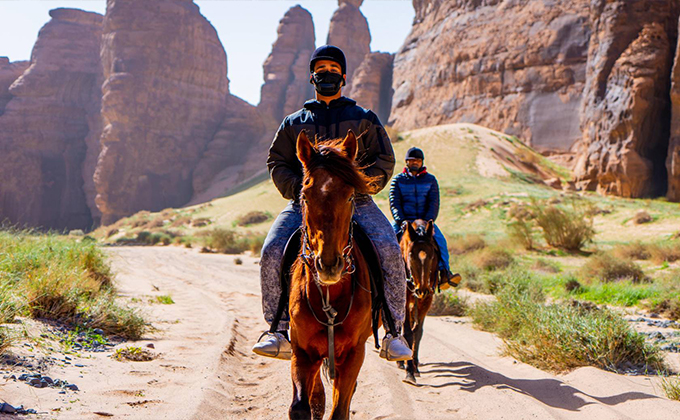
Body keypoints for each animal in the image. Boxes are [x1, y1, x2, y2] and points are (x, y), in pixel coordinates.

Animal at [288, 131, 378, 420]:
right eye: (305, 196)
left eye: (350, 197)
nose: (328, 265)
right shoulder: (302, 351)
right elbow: (301, 407)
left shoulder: (354, 353)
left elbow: (340, 410)